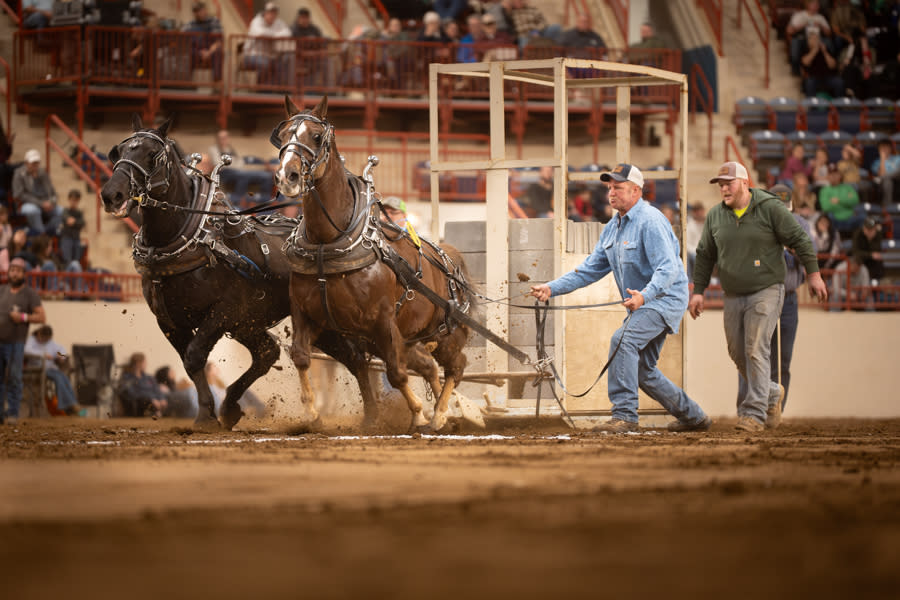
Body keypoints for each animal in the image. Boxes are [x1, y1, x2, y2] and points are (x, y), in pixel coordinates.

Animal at [100, 115, 381, 430]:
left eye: (152, 155)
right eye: (117, 153)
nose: (112, 195)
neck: (194, 238)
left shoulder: (224, 311)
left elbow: (195, 356)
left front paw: (206, 416)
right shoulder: (170, 321)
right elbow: (190, 362)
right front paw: (210, 412)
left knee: (352, 357)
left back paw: (372, 416)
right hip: (262, 323)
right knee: (275, 353)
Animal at [272, 95, 474, 432]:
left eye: (317, 136)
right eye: (284, 134)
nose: (288, 177)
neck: (329, 244)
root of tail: (447, 257)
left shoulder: (382, 320)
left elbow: (396, 373)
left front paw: (417, 413)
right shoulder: (305, 315)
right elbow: (300, 356)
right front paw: (312, 414)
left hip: (445, 334)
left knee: (455, 368)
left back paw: (441, 414)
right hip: (405, 339)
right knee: (430, 367)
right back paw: (445, 415)